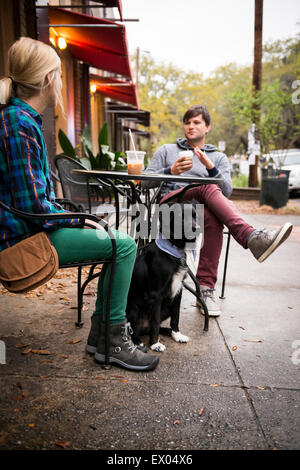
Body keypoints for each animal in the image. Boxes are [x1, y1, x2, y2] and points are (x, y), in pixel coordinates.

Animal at [125, 200, 198, 350]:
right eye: (181, 217)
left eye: (195, 216)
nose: (198, 229)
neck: (173, 250)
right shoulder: (156, 294)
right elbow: (155, 321)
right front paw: (155, 344)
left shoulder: (178, 290)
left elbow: (176, 316)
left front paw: (177, 334)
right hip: (134, 309)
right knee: (134, 329)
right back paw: (138, 341)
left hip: (166, 308)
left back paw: (168, 332)